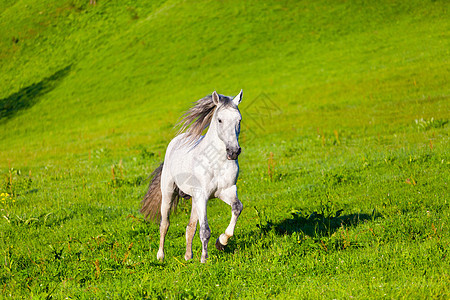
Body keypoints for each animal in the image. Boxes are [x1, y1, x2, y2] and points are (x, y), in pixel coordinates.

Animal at [142, 89, 244, 262]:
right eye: (220, 120)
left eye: (239, 119)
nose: (233, 151)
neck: (215, 162)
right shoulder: (203, 196)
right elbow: (205, 230)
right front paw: (204, 259)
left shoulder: (227, 191)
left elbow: (237, 208)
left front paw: (221, 242)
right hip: (169, 192)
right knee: (165, 224)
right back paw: (160, 256)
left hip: (195, 200)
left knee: (190, 227)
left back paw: (188, 257)